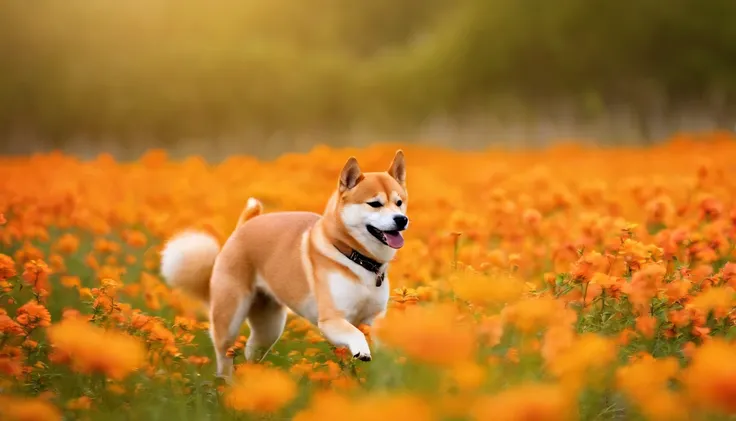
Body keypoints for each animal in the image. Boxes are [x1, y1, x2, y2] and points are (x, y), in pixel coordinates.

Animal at [160, 150, 408, 378]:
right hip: (229, 317)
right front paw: (362, 350)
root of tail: (243, 227)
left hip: (269, 326)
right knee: (224, 358)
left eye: (399, 203)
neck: (357, 258)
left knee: (251, 350)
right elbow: (355, 333)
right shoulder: (331, 319)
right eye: (374, 204)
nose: (401, 219)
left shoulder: (374, 317)